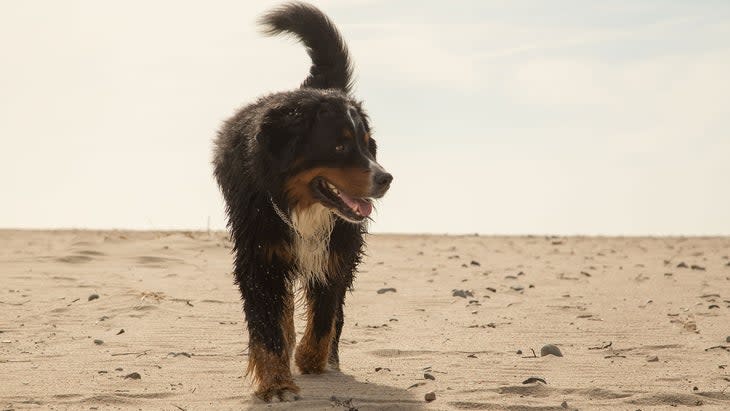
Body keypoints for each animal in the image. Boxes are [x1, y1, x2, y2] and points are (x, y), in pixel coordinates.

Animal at [210, 1, 392, 404]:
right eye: (339, 146)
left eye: (368, 145)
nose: (386, 178)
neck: (302, 209)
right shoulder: (259, 257)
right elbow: (267, 327)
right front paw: (276, 383)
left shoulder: (336, 251)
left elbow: (324, 314)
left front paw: (311, 357)